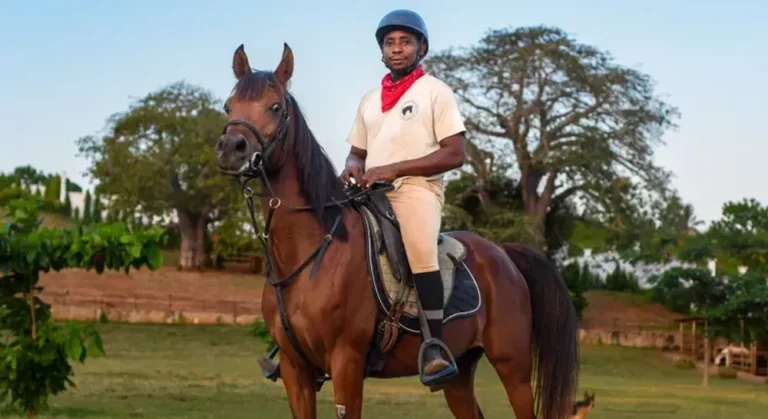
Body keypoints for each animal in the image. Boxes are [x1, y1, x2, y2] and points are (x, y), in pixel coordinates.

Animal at [214, 42, 580, 419]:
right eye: (229, 106)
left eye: (275, 107)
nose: (230, 149)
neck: (311, 253)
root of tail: (503, 254)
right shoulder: (294, 369)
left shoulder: (347, 363)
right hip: (460, 372)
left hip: (513, 368)